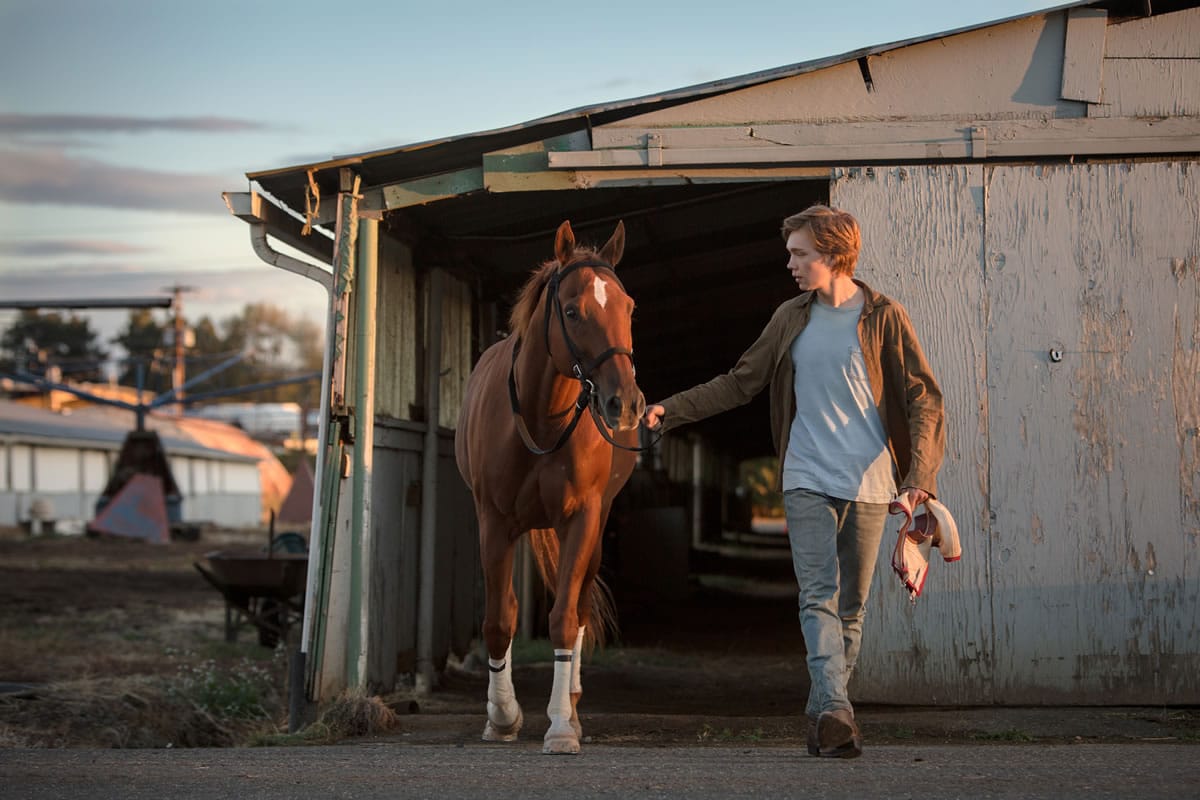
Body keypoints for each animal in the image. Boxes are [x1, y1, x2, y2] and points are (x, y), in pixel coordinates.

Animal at [453, 220, 648, 758]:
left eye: (629, 308)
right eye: (572, 311)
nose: (625, 404)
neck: (543, 418)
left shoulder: (582, 518)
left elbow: (564, 617)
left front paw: (561, 725)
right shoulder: (493, 523)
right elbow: (500, 619)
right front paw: (502, 716)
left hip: (595, 528)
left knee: (578, 607)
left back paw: (574, 706)